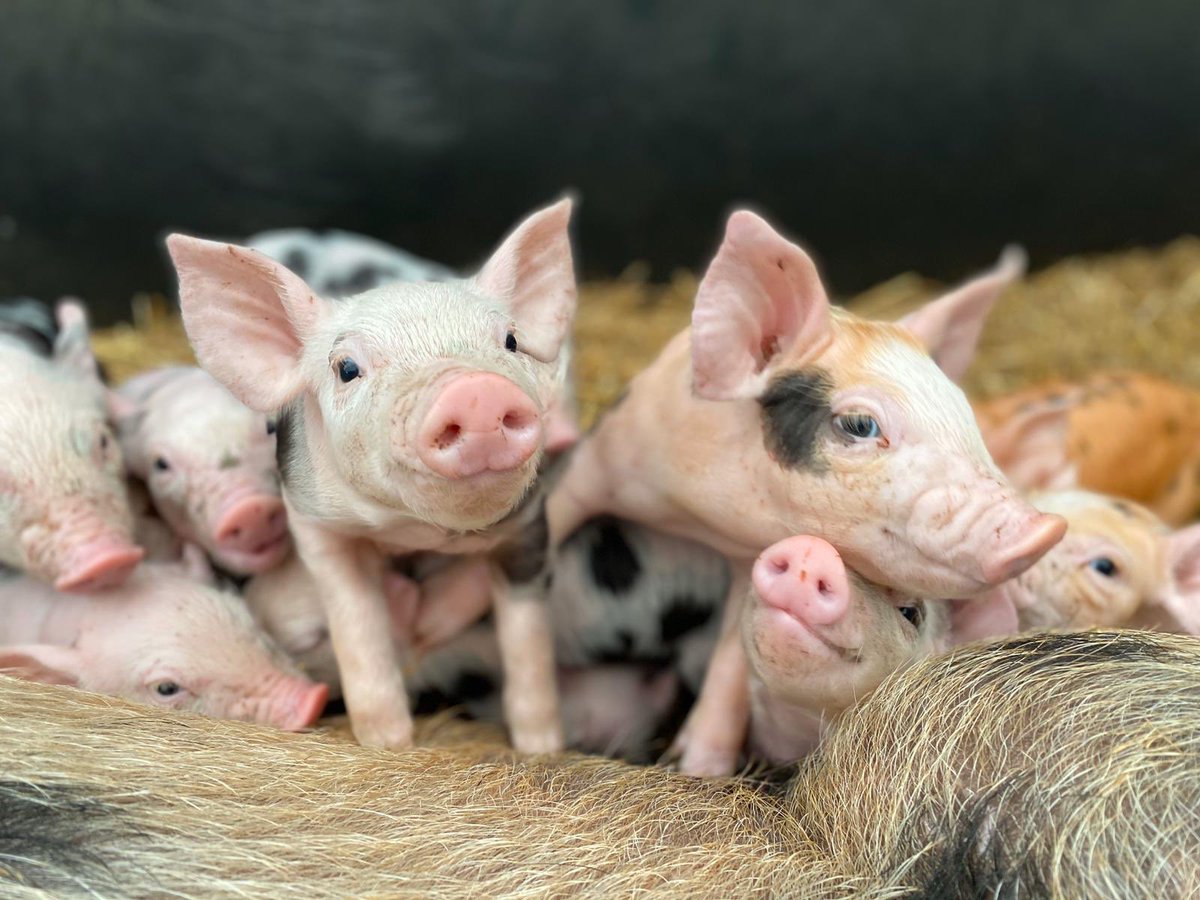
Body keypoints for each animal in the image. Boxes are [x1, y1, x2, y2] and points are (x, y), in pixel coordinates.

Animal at [169, 199, 578, 752]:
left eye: (511, 341)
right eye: (347, 369)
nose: (476, 391)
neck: (416, 532)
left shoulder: (529, 524)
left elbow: (527, 638)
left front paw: (542, 749)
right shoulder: (314, 523)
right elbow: (358, 623)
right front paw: (388, 742)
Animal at [547, 210, 1065, 774]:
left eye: (967, 418)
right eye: (860, 424)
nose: (1046, 529)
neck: (695, 512)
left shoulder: (746, 559)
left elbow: (729, 668)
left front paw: (699, 771)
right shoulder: (600, 458)